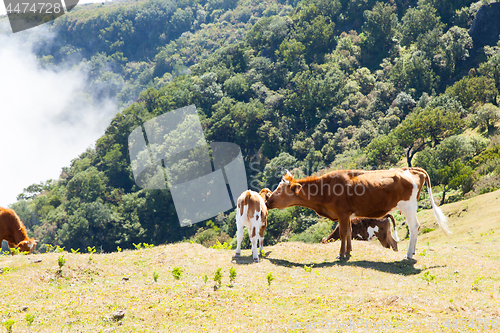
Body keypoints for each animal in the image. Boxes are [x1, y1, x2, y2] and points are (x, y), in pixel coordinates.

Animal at [268, 167, 452, 258]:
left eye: (280, 190)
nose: (268, 200)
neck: (325, 189)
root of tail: (412, 170)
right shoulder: (348, 215)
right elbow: (349, 233)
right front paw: (349, 252)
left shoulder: (342, 214)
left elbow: (343, 233)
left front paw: (341, 255)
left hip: (408, 206)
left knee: (414, 227)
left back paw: (409, 254)